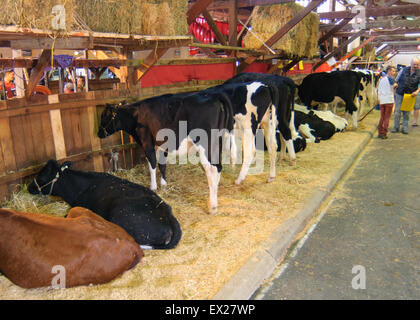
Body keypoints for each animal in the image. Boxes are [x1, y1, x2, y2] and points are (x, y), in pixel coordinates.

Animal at [99, 90, 236, 215]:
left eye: (104, 116)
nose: (98, 133)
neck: (136, 114)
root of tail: (214, 95)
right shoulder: (161, 144)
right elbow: (162, 164)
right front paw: (164, 184)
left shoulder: (147, 142)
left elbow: (152, 164)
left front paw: (153, 187)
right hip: (217, 143)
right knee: (218, 167)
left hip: (204, 145)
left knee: (211, 169)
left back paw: (212, 206)